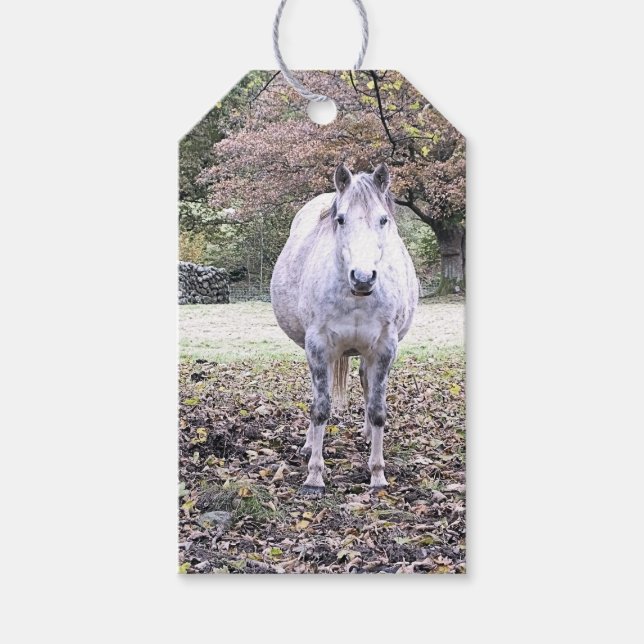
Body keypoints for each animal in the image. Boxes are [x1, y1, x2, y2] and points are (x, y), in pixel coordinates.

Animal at [270, 162, 419, 494]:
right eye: (340, 219)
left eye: (383, 219)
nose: (363, 278)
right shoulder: (318, 346)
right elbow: (320, 407)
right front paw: (314, 477)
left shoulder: (384, 348)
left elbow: (377, 409)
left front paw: (377, 475)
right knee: (319, 393)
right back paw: (309, 444)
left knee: (365, 383)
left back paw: (365, 435)